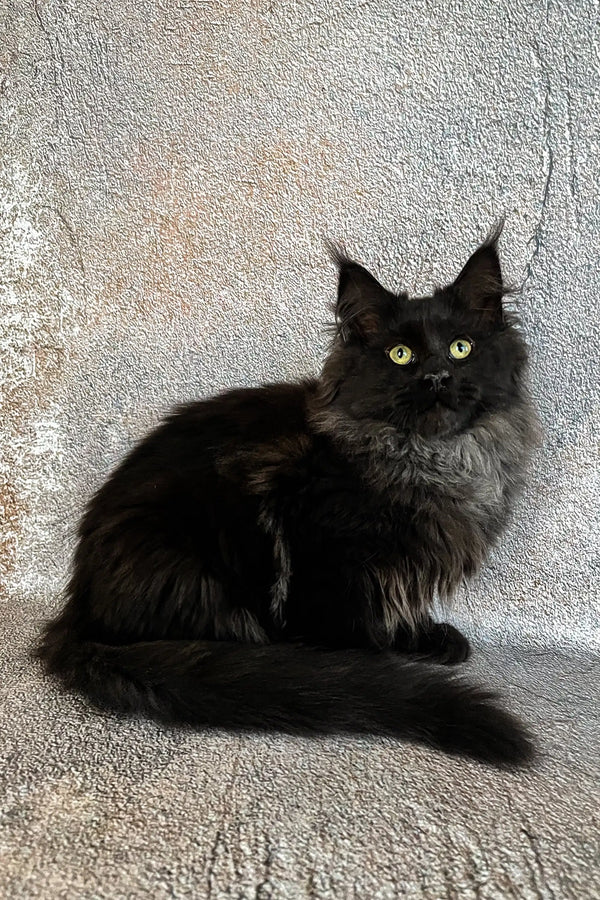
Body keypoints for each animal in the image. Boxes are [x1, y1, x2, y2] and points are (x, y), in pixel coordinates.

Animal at [35, 230, 540, 768]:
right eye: (400, 355)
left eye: (461, 349)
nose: (438, 377)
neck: (433, 461)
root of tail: (77, 612)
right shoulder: (324, 552)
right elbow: (348, 622)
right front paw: (365, 665)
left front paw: (424, 637)